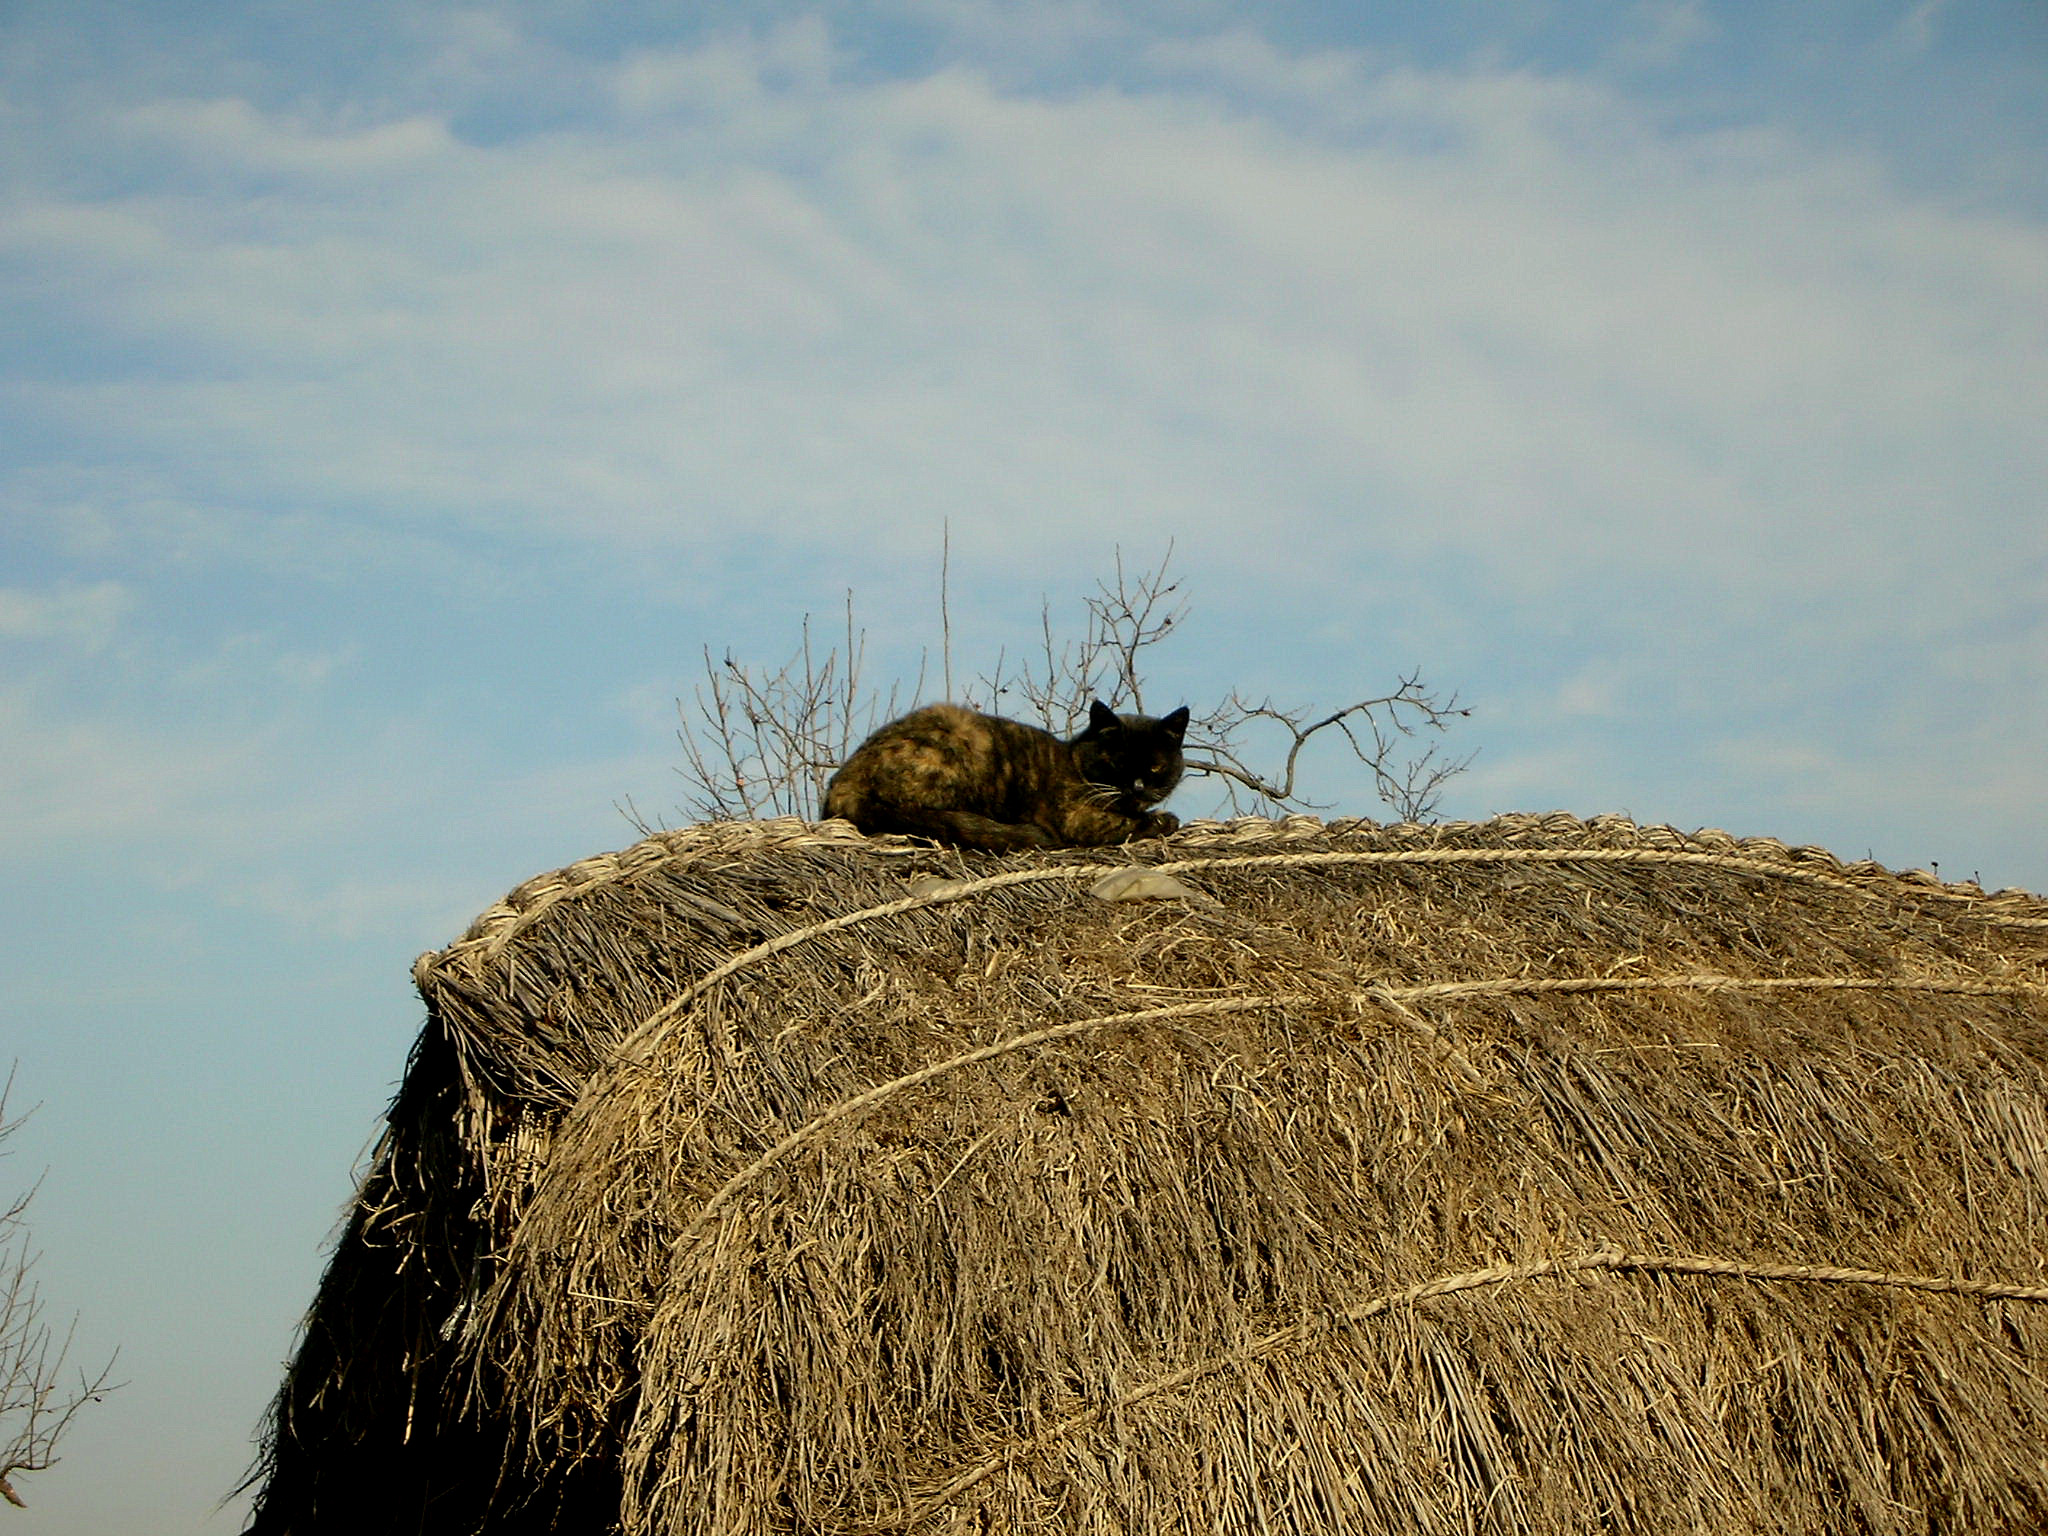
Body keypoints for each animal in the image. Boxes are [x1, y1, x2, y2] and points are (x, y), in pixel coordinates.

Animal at [823, 708, 1196, 860]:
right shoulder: (1079, 819)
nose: (1136, 788)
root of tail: (845, 779)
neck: (1076, 761)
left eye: (1155, 766)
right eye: (1117, 763)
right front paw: (1163, 820)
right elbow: (1131, 824)